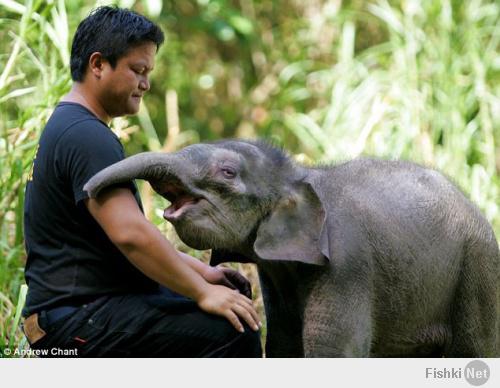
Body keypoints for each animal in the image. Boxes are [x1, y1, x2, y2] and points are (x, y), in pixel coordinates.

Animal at [84, 139, 498, 358]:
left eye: (228, 173)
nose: (87, 192)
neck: (299, 177)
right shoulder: (275, 276)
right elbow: (283, 343)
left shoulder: (347, 266)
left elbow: (333, 351)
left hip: (478, 270)